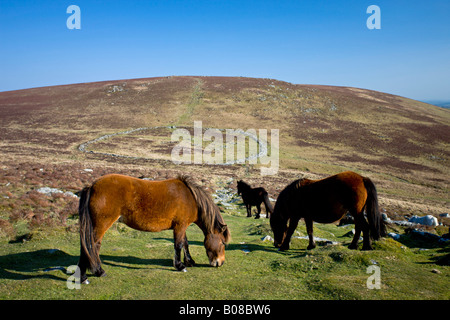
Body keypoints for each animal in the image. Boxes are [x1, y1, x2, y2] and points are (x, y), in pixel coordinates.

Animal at [77, 174, 230, 284]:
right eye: (222, 243)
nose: (220, 263)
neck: (191, 198)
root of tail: (92, 186)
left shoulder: (182, 226)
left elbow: (185, 243)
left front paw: (189, 261)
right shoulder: (180, 226)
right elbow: (179, 245)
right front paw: (180, 266)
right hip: (101, 225)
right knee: (91, 246)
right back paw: (88, 275)